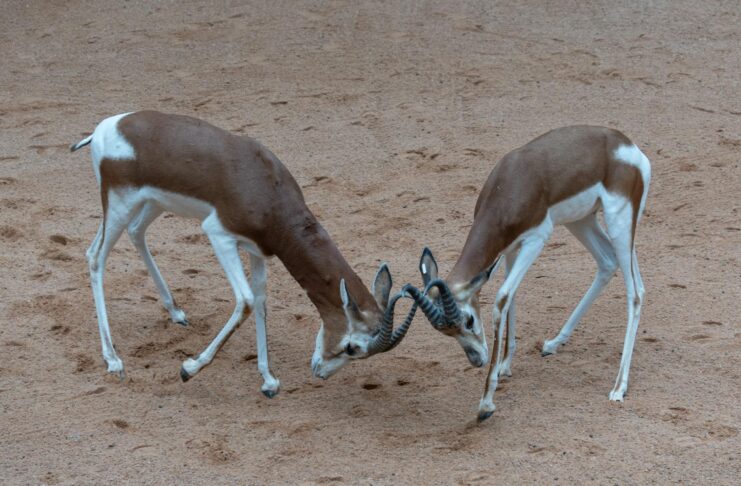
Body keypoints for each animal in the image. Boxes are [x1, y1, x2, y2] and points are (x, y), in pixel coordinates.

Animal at [70, 111, 415, 397]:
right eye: (352, 347)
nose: (320, 373)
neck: (266, 189)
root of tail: (105, 127)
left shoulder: (257, 249)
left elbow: (260, 300)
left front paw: (269, 380)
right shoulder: (219, 235)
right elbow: (246, 300)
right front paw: (189, 368)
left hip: (151, 203)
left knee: (135, 232)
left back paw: (176, 312)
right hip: (120, 204)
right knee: (96, 256)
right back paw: (114, 360)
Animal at [404, 126, 650, 421]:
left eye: (469, 320)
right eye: (446, 333)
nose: (477, 360)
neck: (511, 185)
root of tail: (628, 146)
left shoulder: (536, 240)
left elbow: (502, 297)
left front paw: (486, 404)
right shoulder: (510, 247)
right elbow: (512, 295)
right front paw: (505, 366)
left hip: (618, 221)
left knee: (635, 292)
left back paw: (618, 387)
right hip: (582, 220)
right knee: (609, 262)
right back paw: (553, 344)